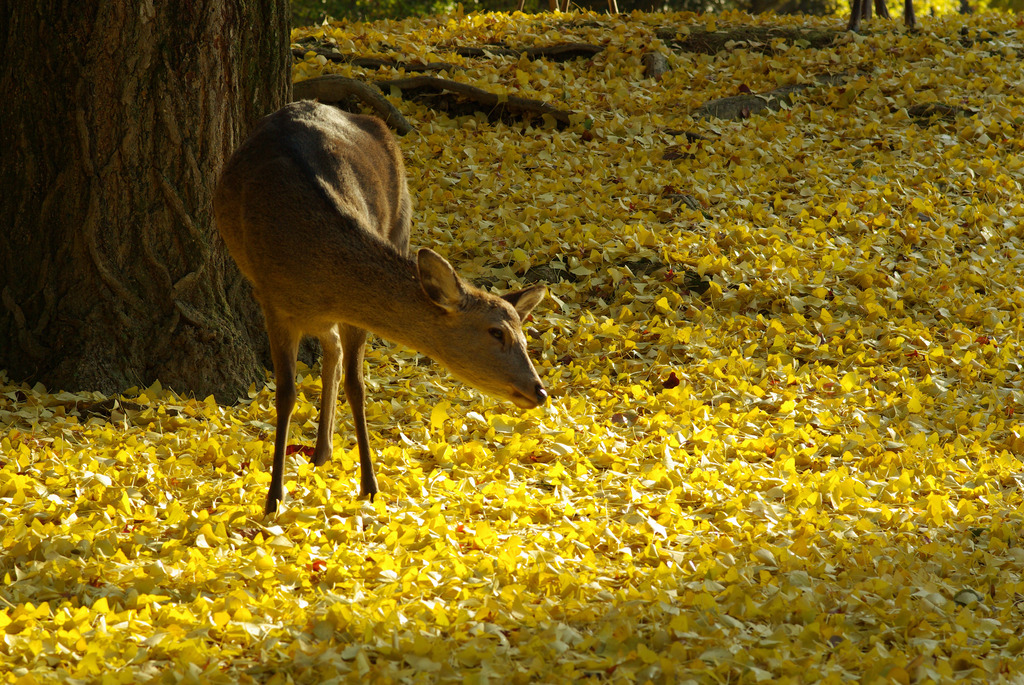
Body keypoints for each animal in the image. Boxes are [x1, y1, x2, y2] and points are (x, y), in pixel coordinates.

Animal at [214, 101, 552, 511]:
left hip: (401, 220)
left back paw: (323, 451)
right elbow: (286, 394)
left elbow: (358, 386)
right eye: (496, 332)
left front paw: (370, 485)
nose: (539, 390)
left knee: (334, 351)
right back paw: (319, 452)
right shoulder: (271, 302)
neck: (313, 267)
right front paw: (274, 498)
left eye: (525, 335)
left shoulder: (354, 314)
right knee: (330, 349)